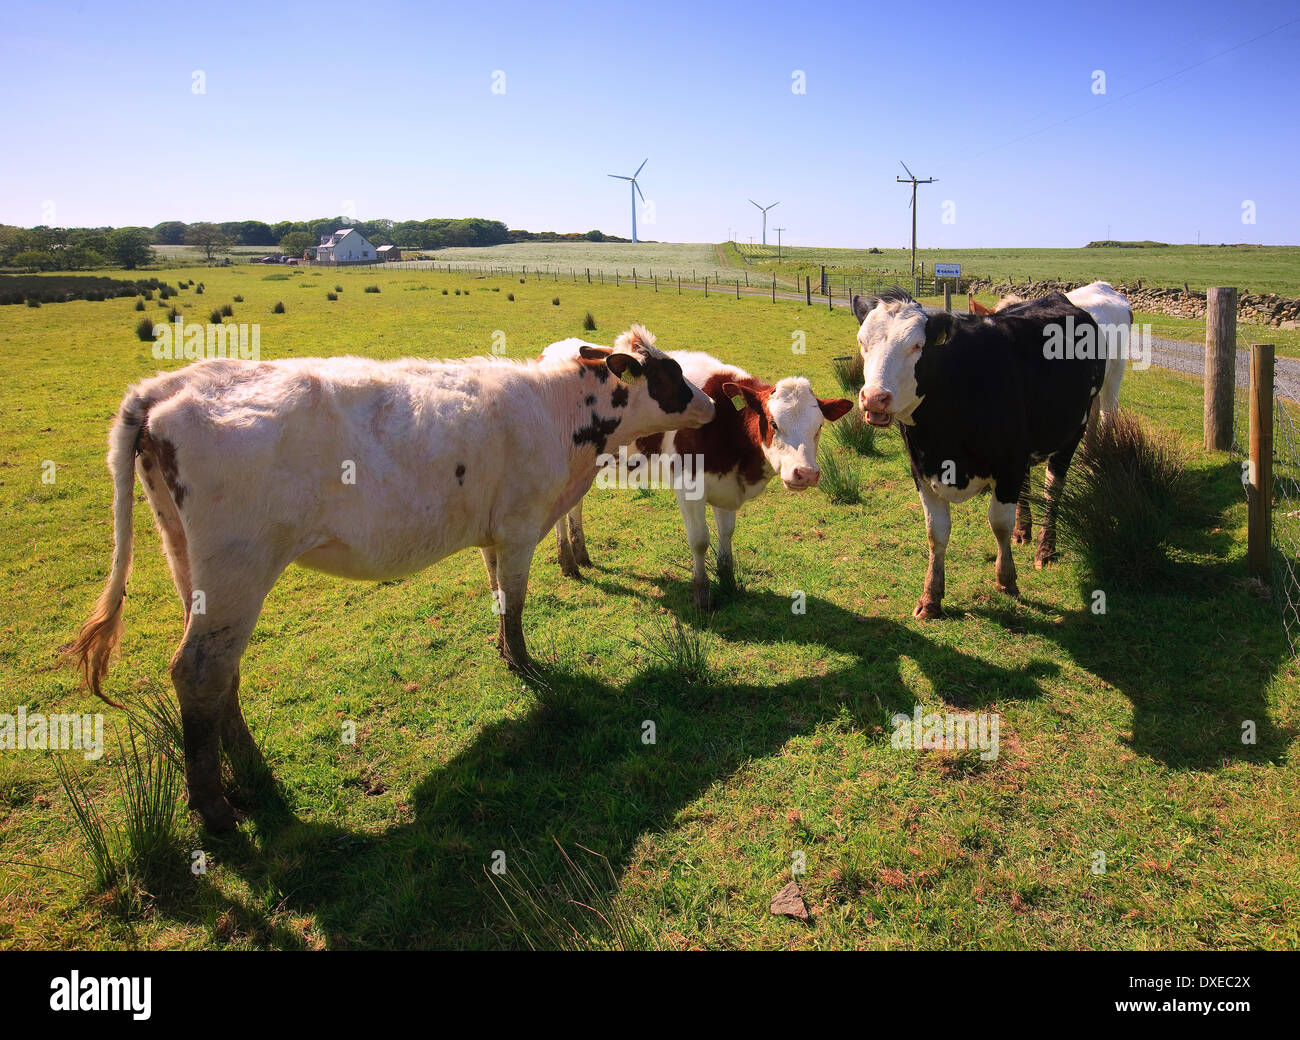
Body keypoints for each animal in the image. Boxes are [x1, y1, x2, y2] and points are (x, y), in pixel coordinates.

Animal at [68, 325, 714, 831]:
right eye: (671, 371)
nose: (709, 403)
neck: (558, 411)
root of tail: (165, 386)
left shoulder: (492, 532)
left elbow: (498, 596)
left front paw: (504, 654)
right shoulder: (519, 525)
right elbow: (516, 601)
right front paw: (526, 663)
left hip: (189, 567)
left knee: (220, 674)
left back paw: (252, 775)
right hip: (237, 572)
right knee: (199, 670)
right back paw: (215, 808)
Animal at [540, 342, 853, 609]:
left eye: (819, 427)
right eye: (773, 423)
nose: (806, 473)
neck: (726, 423)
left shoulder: (725, 484)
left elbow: (727, 534)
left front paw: (728, 582)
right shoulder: (688, 487)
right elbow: (700, 540)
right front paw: (702, 595)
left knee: (575, 505)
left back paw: (581, 553)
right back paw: (567, 561)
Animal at [852, 288, 1107, 619]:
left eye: (917, 346)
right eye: (862, 342)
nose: (874, 398)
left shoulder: (1009, 464)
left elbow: (998, 522)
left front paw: (1007, 580)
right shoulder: (921, 467)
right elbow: (936, 531)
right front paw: (931, 597)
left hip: (1074, 430)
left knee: (1053, 489)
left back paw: (1045, 548)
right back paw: (1023, 532)